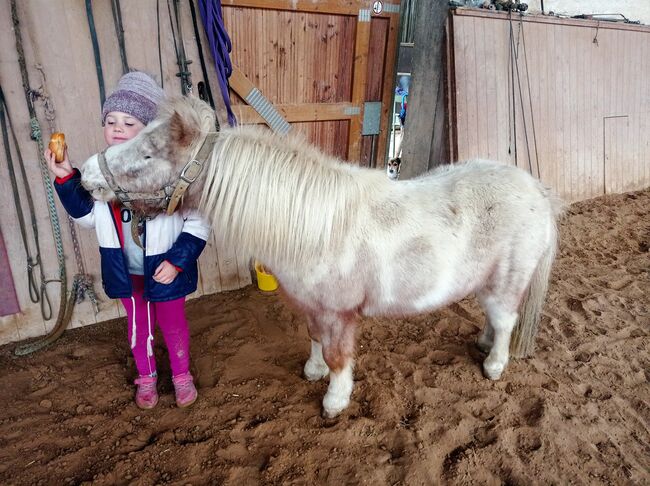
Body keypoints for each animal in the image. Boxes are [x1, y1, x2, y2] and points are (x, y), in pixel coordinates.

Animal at [79, 98, 560, 418]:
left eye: (146, 153)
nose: (84, 175)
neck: (315, 228)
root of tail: (537, 190)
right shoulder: (312, 308)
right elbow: (313, 340)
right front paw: (312, 372)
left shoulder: (340, 314)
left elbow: (338, 357)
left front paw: (334, 400)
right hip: (485, 281)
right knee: (493, 318)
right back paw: (482, 345)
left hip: (507, 282)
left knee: (506, 320)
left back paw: (494, 364)